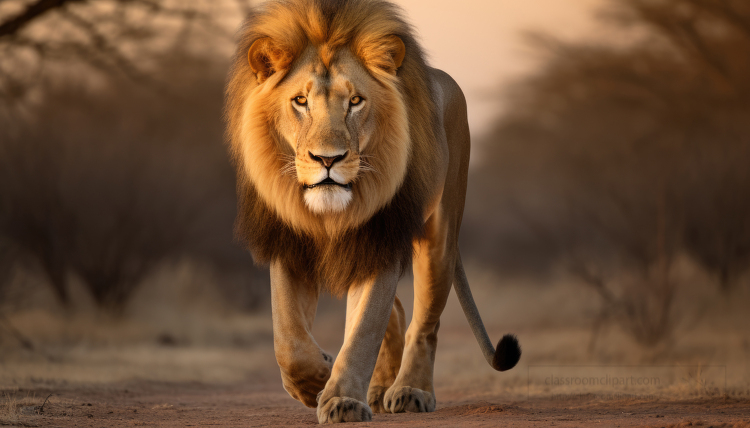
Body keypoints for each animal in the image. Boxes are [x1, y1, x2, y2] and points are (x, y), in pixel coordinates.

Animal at [226, 0, 524, 422]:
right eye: (300, 101)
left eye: (355, 101)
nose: (327, 159)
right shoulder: (289, 242)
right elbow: (288, 338)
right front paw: (315, 381)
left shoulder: (381, 237)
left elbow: (363, 330)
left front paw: (342, 399)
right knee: (395, 311)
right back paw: (380, 389)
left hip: (439, 238)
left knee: (424, 324)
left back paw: (411, 391)